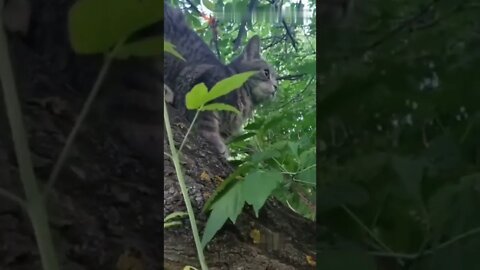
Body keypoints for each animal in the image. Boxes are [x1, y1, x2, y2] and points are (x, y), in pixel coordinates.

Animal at [164, 3, 280, 157]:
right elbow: (206, 122)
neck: (246, 102)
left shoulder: (227, 129)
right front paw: (216, 143)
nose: (276, 87)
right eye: (266, 73)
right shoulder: (202, 89)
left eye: (277, 80)